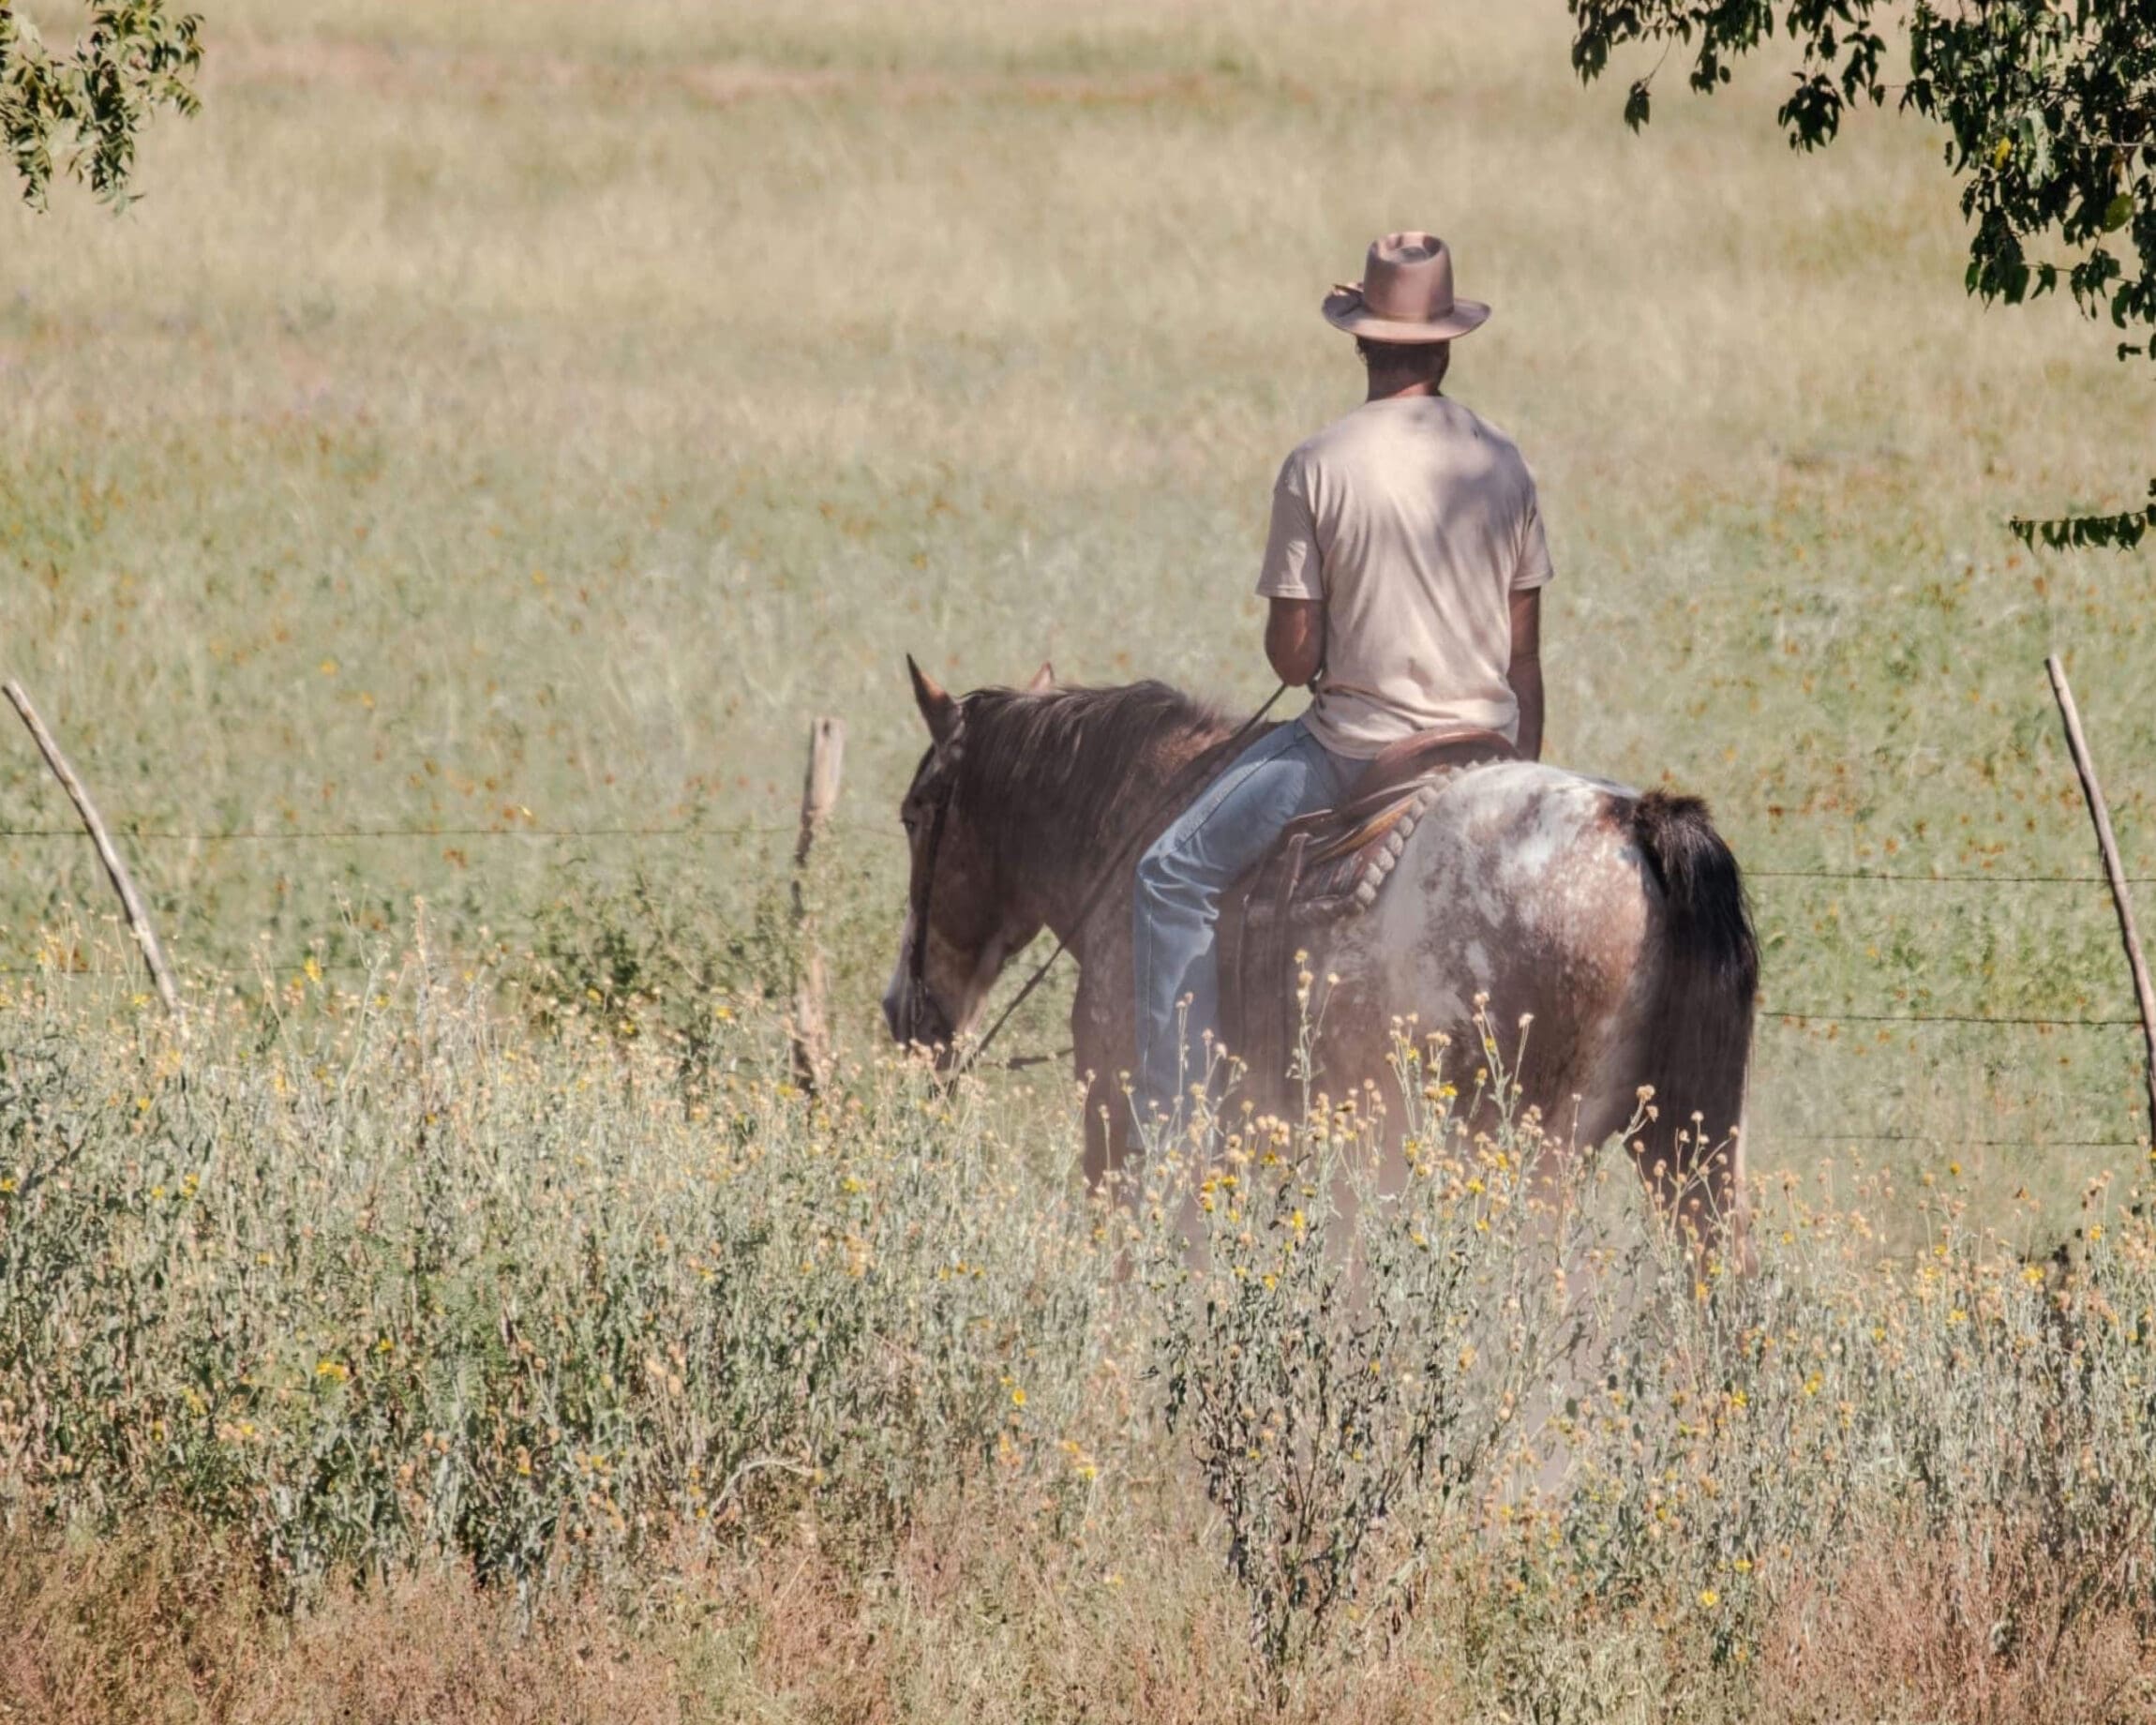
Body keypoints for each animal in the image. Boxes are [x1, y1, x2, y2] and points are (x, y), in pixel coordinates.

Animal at [884, 655, 1759, 1241]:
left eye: (914, 813)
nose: (903, 1011)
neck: (1137, 811)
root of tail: (1632, 820)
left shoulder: (1115, 1099)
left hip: (1529, 1150)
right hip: (1679, 1152)